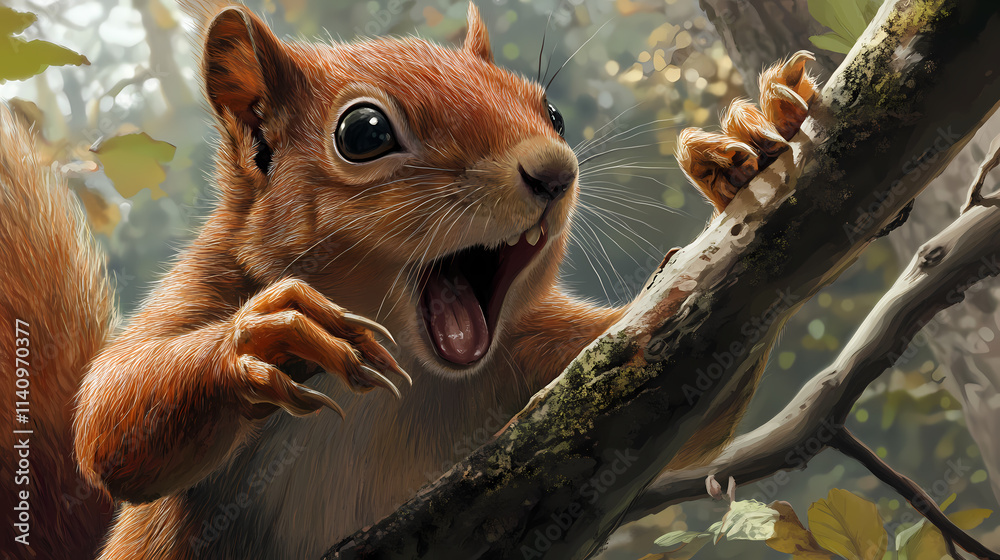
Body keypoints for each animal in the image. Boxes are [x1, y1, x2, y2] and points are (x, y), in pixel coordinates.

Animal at [0, 2, 816, 559]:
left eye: (551, 110)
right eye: (363, 133)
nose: (555, 171)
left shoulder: (543, 356)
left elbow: (685, 407)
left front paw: (748, 144)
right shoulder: (208, 283)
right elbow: (112, 426)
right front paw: (265, 335)